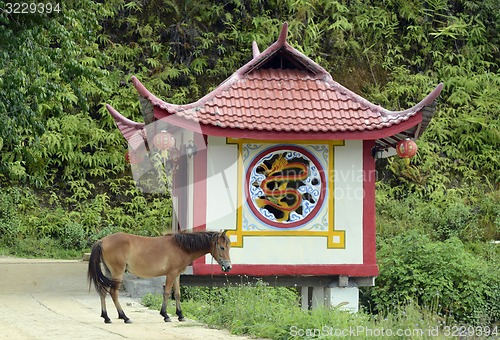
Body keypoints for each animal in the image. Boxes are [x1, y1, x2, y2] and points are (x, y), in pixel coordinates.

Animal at [88, 230, 232, 322]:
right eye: (222, 247)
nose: (229, 267)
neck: (181, 247)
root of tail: (102, 241)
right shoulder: (171, 274)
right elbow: (167, 293)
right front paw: (165, 315)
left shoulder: (177, 275)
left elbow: (177, 294)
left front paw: (180, 315)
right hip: (117, 272)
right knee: (113, 293)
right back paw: (124, 317)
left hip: (109, 272)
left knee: (103, 291)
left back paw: (106, 317)